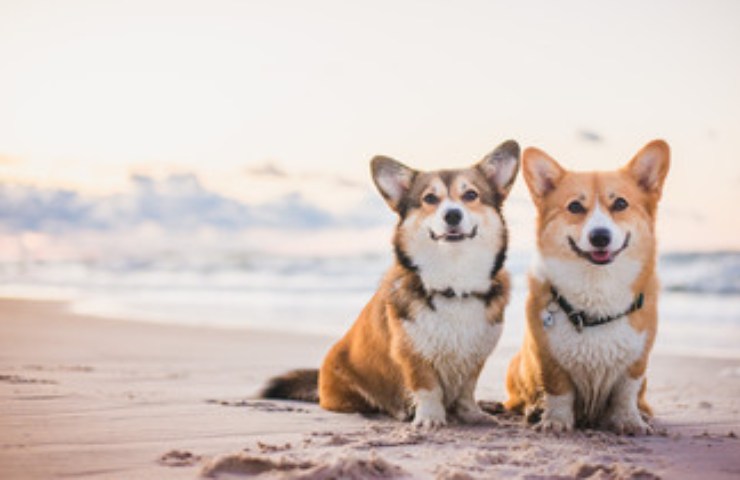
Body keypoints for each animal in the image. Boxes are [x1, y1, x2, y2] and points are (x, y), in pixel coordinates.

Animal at [260, 140, 520, 428]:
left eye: (471, 195)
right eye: (430, 198)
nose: (452, 215)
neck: (454, 280)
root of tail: (318, 377)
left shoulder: (474, 356)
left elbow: (466, 390)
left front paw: (472, 414)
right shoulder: (412, 353)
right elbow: (428, 388)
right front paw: (430, 418)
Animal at [502, 140, 672, 436]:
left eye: (620, 203)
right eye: (575, 207)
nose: (600, 236)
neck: (597, 289)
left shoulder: (637, 361)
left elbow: (625, 393)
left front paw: (630, 421)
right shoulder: (548, 358)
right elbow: (558, 390)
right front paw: (555, 421)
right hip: (517, 368)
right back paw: (535, 410)